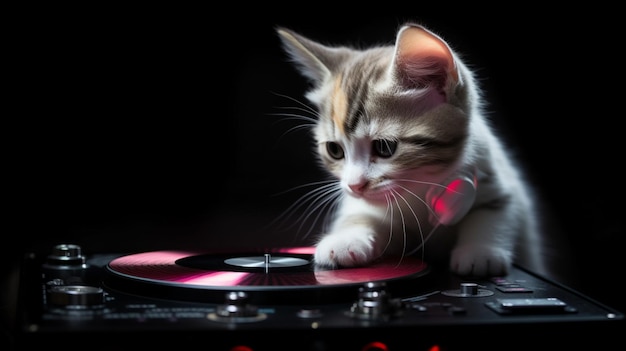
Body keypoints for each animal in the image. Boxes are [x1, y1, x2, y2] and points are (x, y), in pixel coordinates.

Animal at [276, 23, 544, 280]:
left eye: (384, 147)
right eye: (334, 150)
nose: (354, 186)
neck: (418, 190)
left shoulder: (496, 177)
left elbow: (494, 212)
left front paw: (481, 252)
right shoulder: (366, 206)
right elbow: (362, 214)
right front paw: (345, 239)